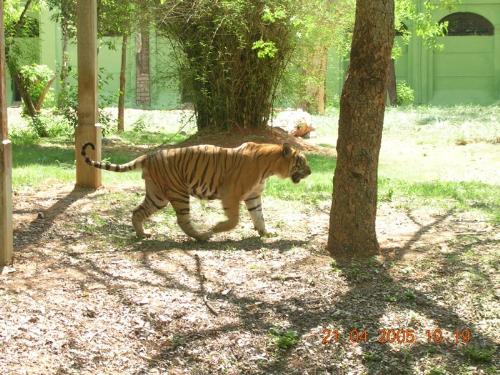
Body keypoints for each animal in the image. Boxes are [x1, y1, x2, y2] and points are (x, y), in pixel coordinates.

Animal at [80, 141, 310, 241]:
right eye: (302, 161)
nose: (310, 171)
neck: (270, 168)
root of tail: (149, 155)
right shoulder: (231, 193)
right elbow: (234, 220)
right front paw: (217, 227)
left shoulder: (254, 196)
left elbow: (259, 216)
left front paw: (266, 232)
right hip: (178, 192)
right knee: (182, 220)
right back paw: (202, 236)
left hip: (157, 195)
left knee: (137, 212)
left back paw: (143, 234)